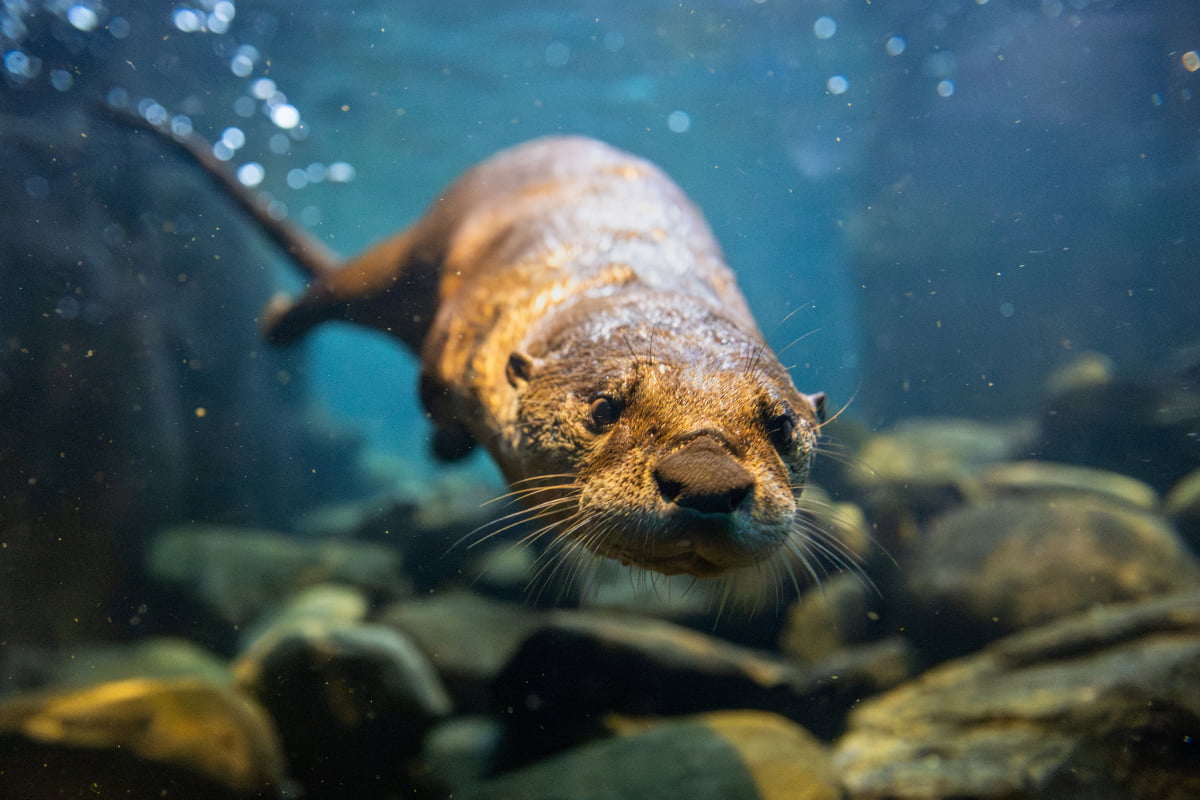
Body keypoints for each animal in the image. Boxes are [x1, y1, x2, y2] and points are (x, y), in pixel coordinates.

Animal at [114, 109, 827, 582]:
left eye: (783, 427)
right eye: (604, 409)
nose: (707, 480)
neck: (626, 271)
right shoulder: (456, 335)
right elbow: (431, 394)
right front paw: (445, 445)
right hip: (401, 267)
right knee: (335, 290)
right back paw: (277, 324)